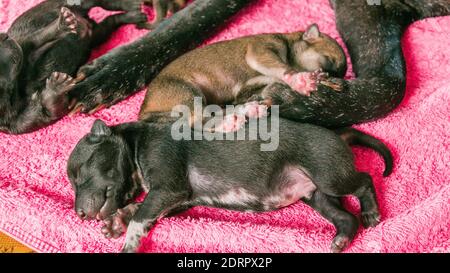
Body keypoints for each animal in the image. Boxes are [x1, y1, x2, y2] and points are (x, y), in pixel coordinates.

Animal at [0, 0, 149, 134]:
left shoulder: (25, 45)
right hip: (97, 35)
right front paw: (55, 87)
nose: (4, 36)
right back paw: (130, 16)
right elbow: (49, 109)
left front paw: (61, 26)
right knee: (109, 22)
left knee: (99, 2)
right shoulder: (19, 121)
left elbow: (38, 38)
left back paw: (129, 6)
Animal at [67, 119, 394, 253]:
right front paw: (116, 221)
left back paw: (371, 212)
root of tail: (339, 134)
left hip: (329, 175)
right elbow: (139, 209)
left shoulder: (169, 189)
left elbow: (140, 216)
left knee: (366, 181)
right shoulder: (179, 200)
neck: (137, 143)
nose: (79, 214)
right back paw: (341, 240)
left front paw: (127, 241)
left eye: (80, 172)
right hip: (318, 196)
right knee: (346, 218)